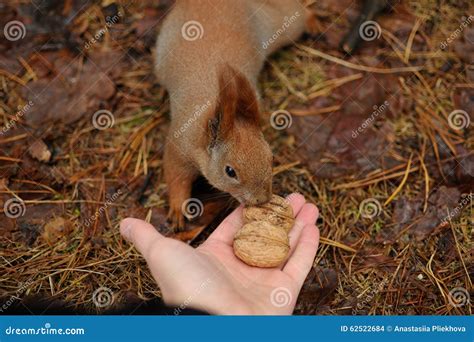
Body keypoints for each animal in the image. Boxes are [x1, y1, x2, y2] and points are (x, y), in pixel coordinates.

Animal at [156, 1, 310, 230]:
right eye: (230, 171)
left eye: (271, 157)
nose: (261, 199)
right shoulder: (178, 147)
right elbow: (175, 175)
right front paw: (177, 208)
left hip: (281, 24)